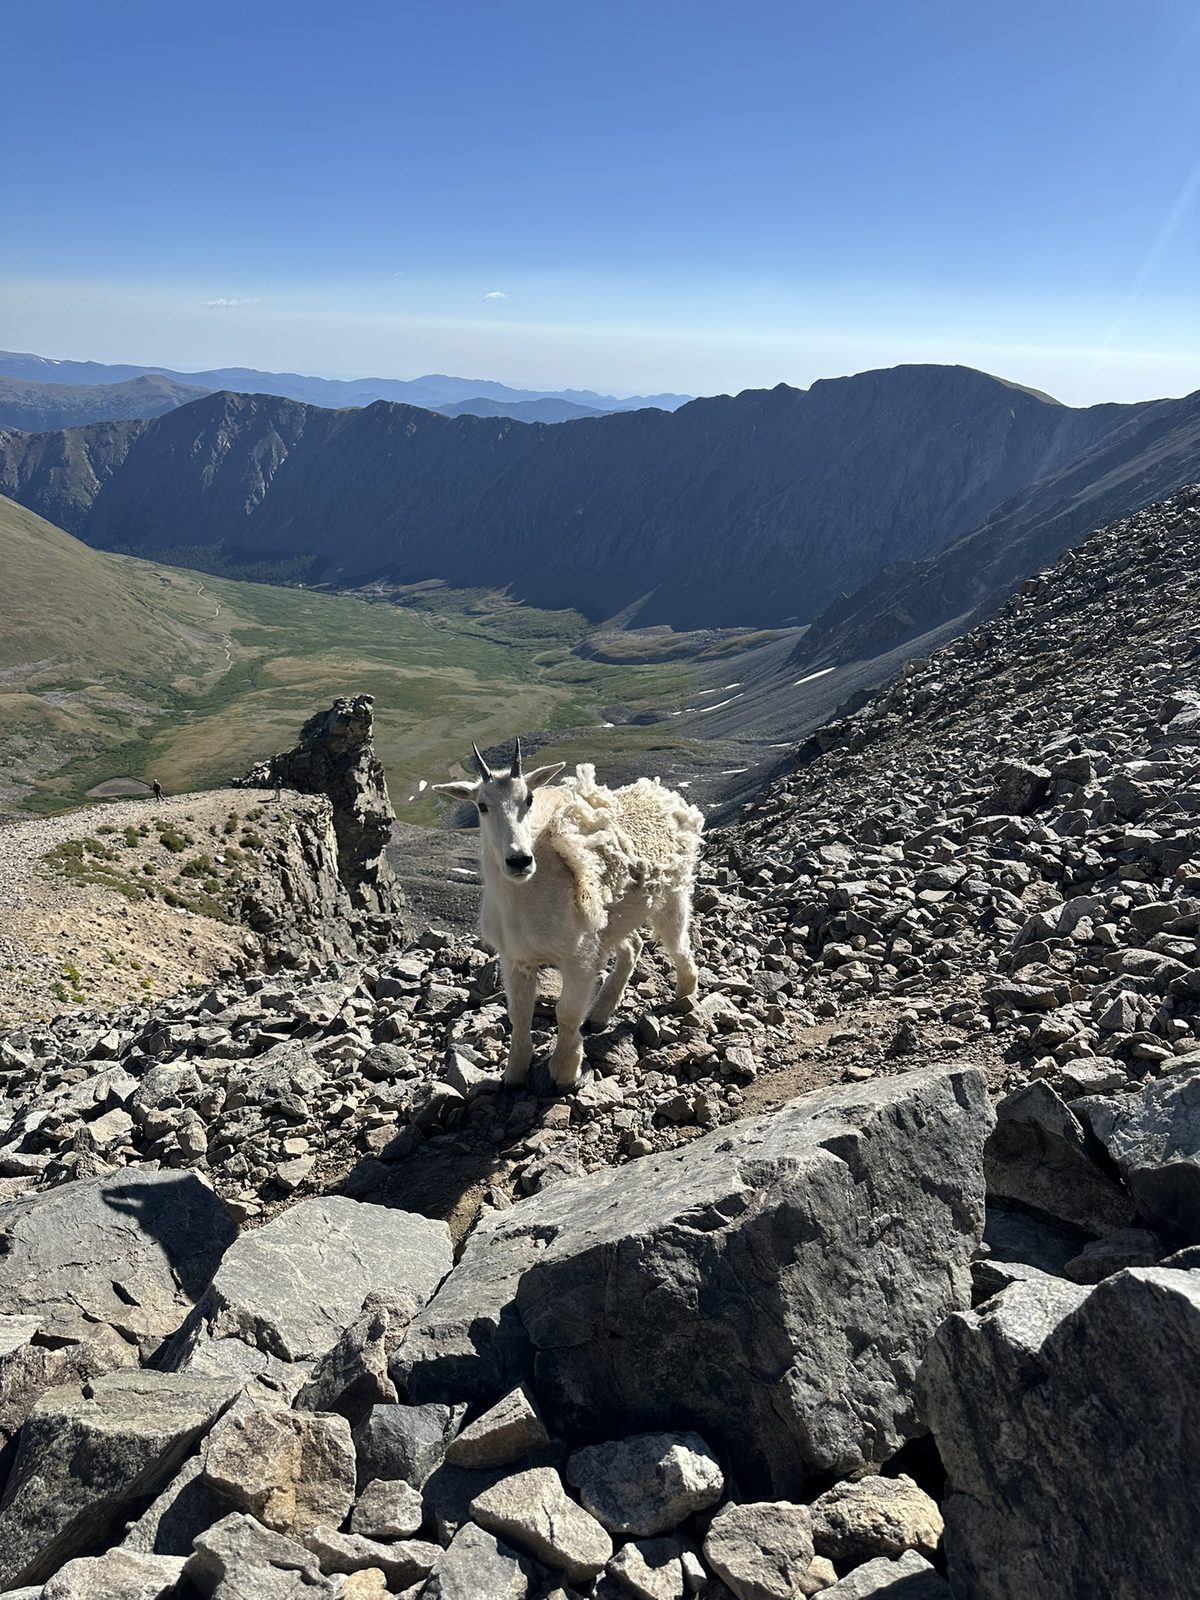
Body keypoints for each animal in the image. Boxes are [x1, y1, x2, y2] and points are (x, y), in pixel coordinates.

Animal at [435, 738, 704, 1088]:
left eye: (529, 799)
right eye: (481, 806)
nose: (519, 861)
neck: (524, 901)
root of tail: (664, 795)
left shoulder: (579, 957)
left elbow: (567, 1013)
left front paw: (564, 1071)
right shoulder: (516, 960)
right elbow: (519, 1015)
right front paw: (514, 1074)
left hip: (671, 895)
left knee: (678, 943)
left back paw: (685, 993)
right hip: (613, 920)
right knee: (632, 945)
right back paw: (600, 1014)